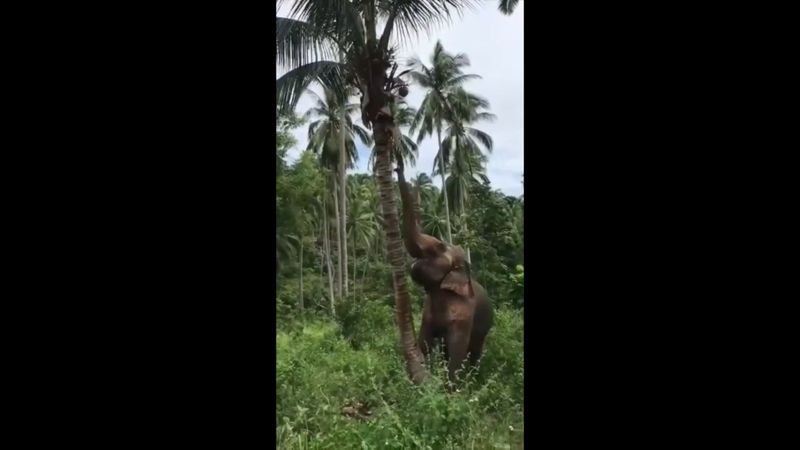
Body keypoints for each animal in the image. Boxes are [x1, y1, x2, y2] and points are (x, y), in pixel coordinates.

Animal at [394, 158, 494, 384]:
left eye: (439, 247)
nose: (398, 165)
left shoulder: (464, 313)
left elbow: (457, 351)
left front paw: (450, 387)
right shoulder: (428, 314)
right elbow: (424, 341)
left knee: (474, 351)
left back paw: (474, 380)